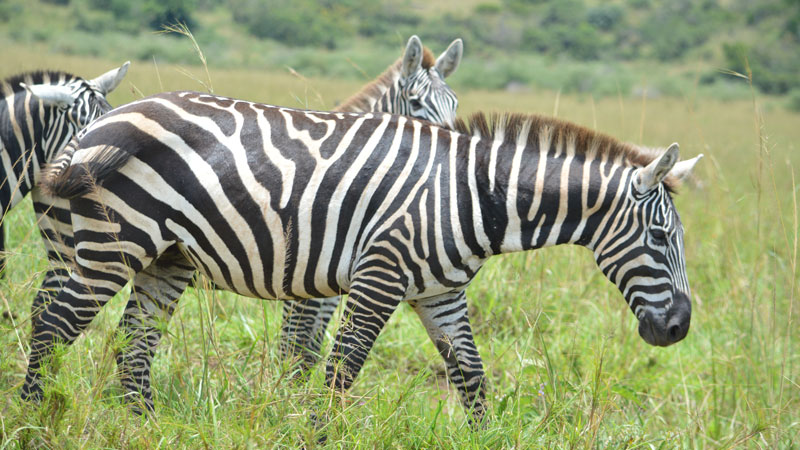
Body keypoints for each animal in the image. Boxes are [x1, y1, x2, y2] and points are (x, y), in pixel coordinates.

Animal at [21, 92, 704, 426]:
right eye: (659, 238)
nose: (678, 328)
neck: (474, 194)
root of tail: (102, 117)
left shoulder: (441, 293)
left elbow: (472, 380)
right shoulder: (382, 274)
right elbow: (340, 372)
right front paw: (316, 434)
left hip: (166, 259)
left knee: (133, 345)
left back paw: (146, 427)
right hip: (113, 244)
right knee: (53, 324)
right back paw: (33, 415)